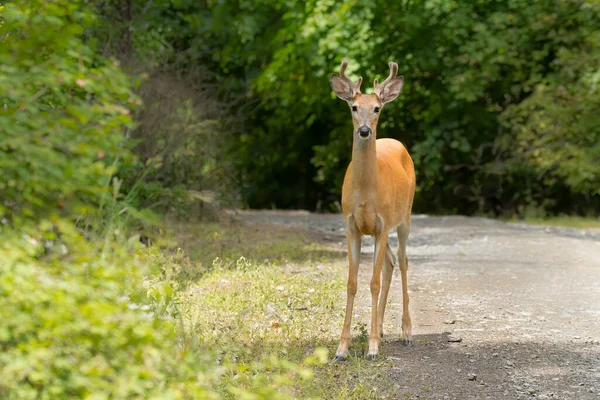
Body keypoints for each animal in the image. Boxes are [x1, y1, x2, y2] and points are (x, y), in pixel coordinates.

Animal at [330, 57, 414, 360]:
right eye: (354, 107)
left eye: (377, 108)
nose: (364, 130)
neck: (366, 193)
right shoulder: (352, 225)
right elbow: (352, 283)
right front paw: (342, 348)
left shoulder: (381, 225)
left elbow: (373, 283)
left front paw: (373, 348)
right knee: (390, 262)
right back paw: (380, 328)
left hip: (404, 217)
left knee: (402, 261)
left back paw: (406, 331)